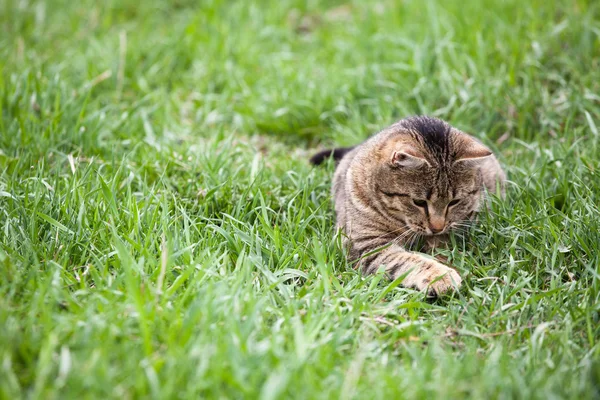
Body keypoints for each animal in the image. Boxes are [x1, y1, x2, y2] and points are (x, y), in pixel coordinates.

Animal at [312, 114, 504, 296]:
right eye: (419, 202)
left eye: (454, 202)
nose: (437, 227)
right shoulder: (366, 244)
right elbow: (406, 260)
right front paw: (439, 275)